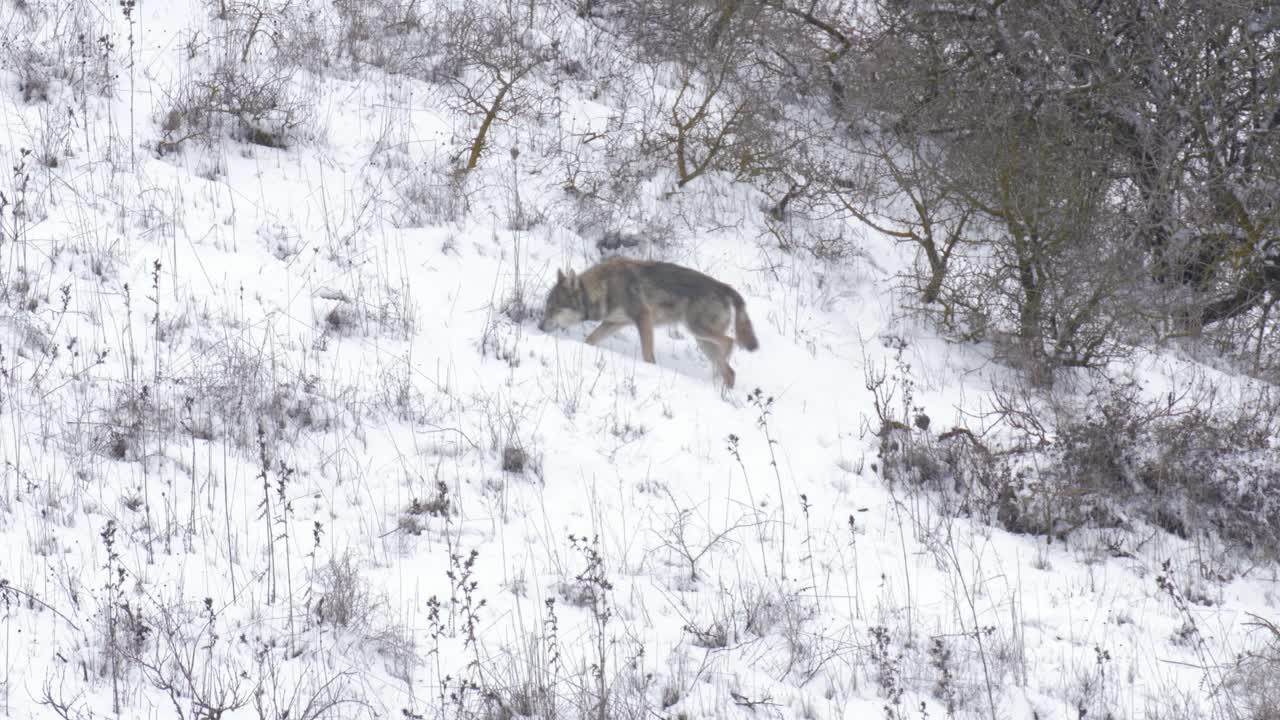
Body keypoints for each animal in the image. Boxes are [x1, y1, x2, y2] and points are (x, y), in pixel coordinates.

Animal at [535, 254, 752, 384]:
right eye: (547, 307)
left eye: (553, 309)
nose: (539, 326)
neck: (605, 287)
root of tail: (726, 288)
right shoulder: (614, 323)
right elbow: (589, 340)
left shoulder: (643, 318)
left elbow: (648, 356)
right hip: (702, 341)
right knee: (728, 368)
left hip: (698, 331)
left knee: (730, 344)